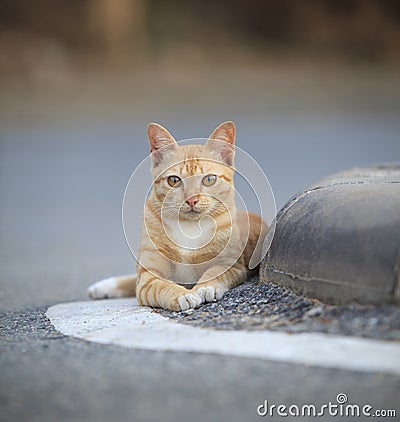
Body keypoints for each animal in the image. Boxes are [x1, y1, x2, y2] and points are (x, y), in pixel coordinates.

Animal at [89, 120, 268, 312]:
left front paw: (205, 287)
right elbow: (161, 285)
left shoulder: (231, 265)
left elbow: (213, 273)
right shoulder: (148, 277)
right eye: (174, 180)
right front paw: (182, 295)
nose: (191, 200)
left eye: (209, 179)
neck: (189, 227)